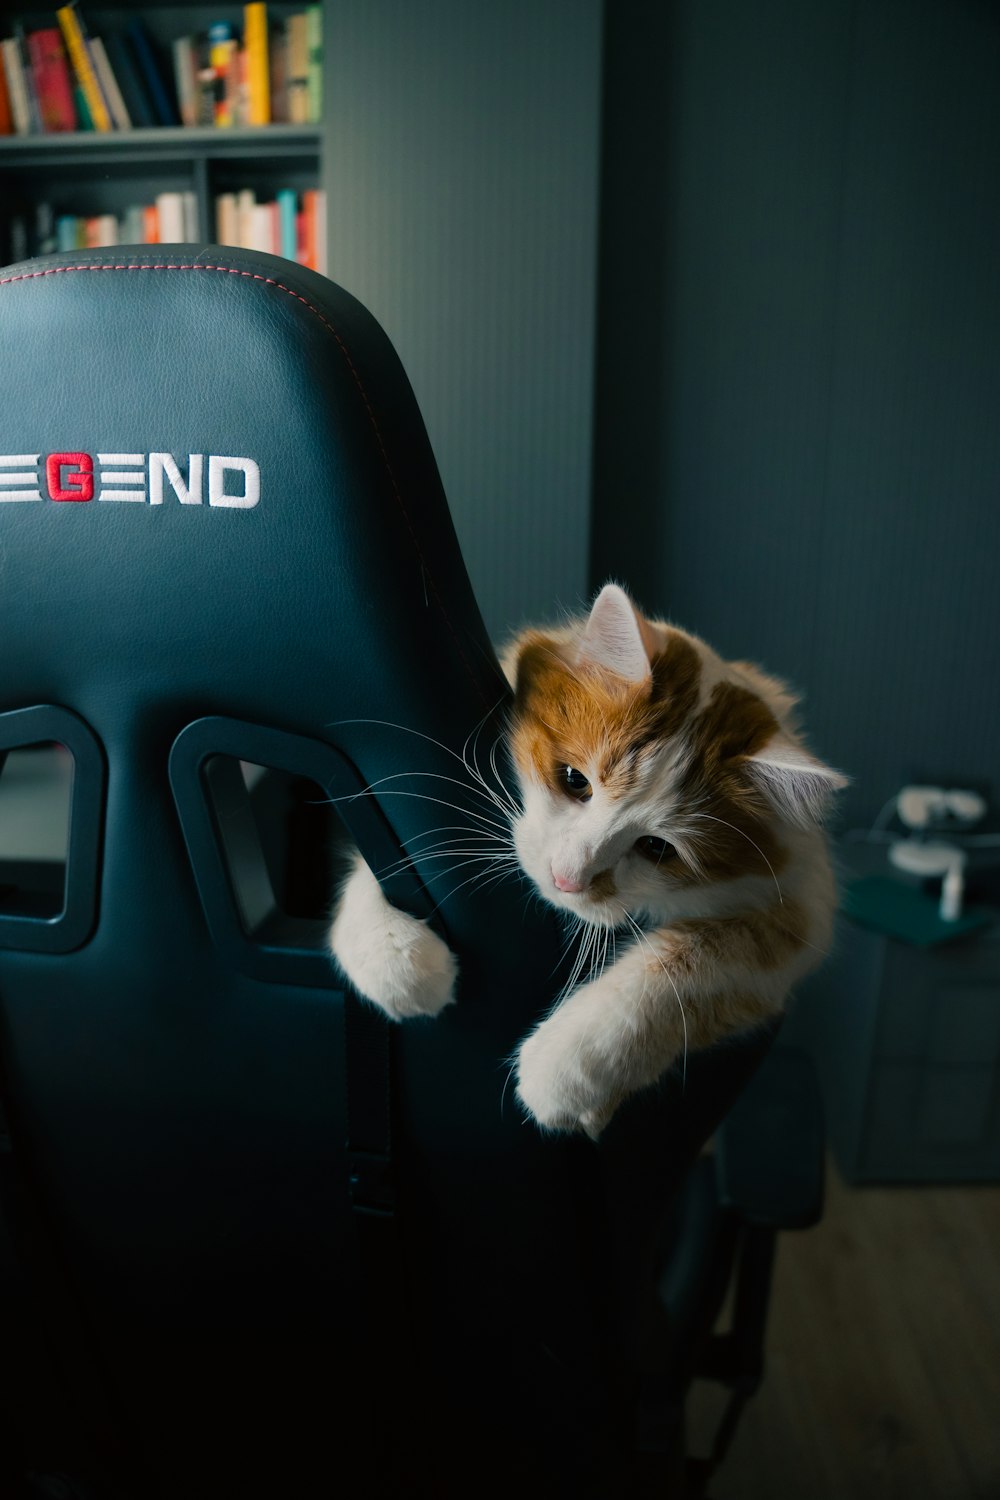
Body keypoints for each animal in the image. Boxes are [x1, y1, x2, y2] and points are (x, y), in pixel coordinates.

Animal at [328, 582, 845, 1134]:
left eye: (657, 848)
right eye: (575, 780)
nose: (566, 878)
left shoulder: (799, 913)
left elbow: (683, 966)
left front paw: (566, 1064)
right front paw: (391, 955)